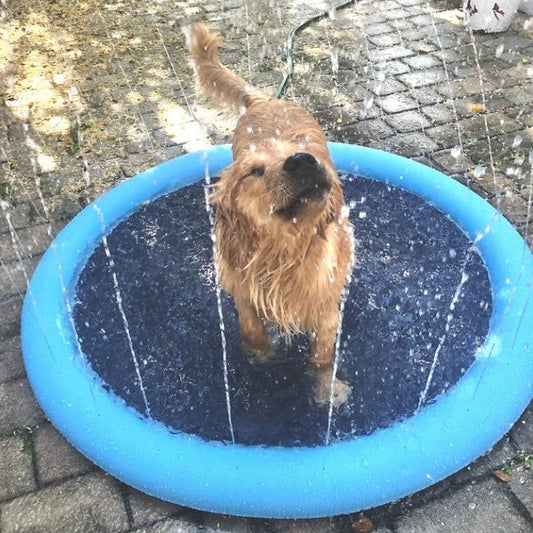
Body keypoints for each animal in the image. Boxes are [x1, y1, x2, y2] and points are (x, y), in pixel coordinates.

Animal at [190, 22, 354, 406]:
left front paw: (326, 389)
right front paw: (259, 355)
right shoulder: (239, 285)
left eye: (304, 151)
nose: (303, 161)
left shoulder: (326, 304)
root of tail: (265, 99)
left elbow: (323, 356)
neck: (284, 252)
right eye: (253, 171)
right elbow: (251, 325)